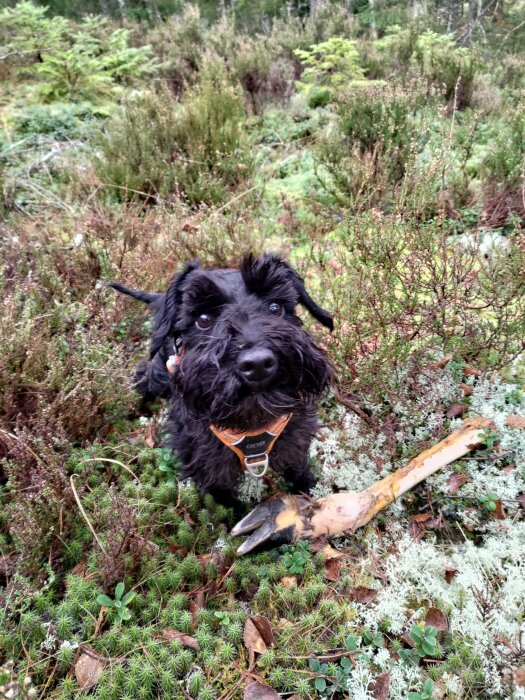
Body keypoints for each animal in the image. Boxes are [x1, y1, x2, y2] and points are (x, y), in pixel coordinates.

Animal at [110, 254, 332, 506]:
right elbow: (222, 499)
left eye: (275, 308)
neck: (250, 425)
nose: (257, 364)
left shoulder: (294, 438)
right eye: (204, 319)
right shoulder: (204, 462)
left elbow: (297, 467)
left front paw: (311, 491)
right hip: (156, 375)